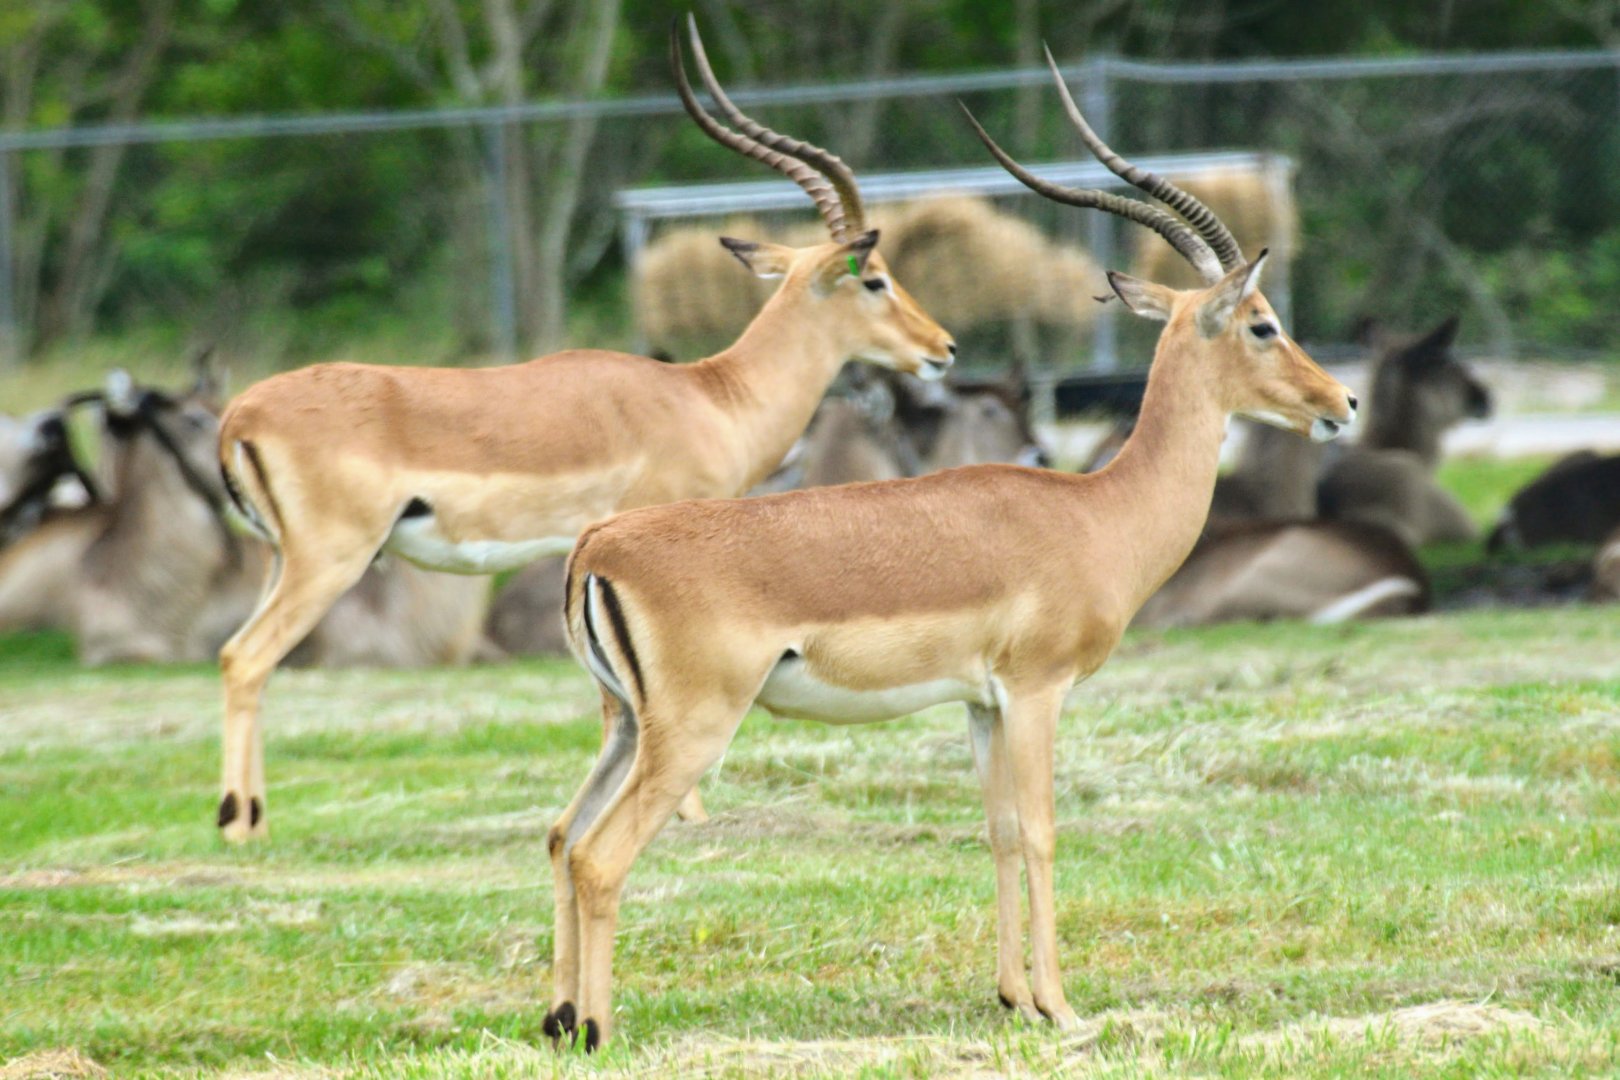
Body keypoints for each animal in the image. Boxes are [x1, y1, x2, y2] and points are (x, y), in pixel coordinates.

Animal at [209, 18, 954, 842]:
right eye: (875, 277)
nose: (943, 347)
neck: (710, 396)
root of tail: (239, 413)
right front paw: (690, 816)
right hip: (330, 559)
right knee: (248, 656)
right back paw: (241, 823)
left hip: (285, 559)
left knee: (236, 655)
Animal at [539, 56, 1355, 1051]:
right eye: (1263, 323)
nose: (1343, 402)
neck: (1098, 512)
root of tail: (598, 543)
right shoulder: (1038, 693)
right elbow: (1042, 829)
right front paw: (1063, 1006)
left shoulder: (981, 704)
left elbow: (998, 829)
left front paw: (1014, 998)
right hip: (693, 729)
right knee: (603, 855)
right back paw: (594, 1029)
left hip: (626, 723)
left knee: (564, 836)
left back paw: (557, 1017)